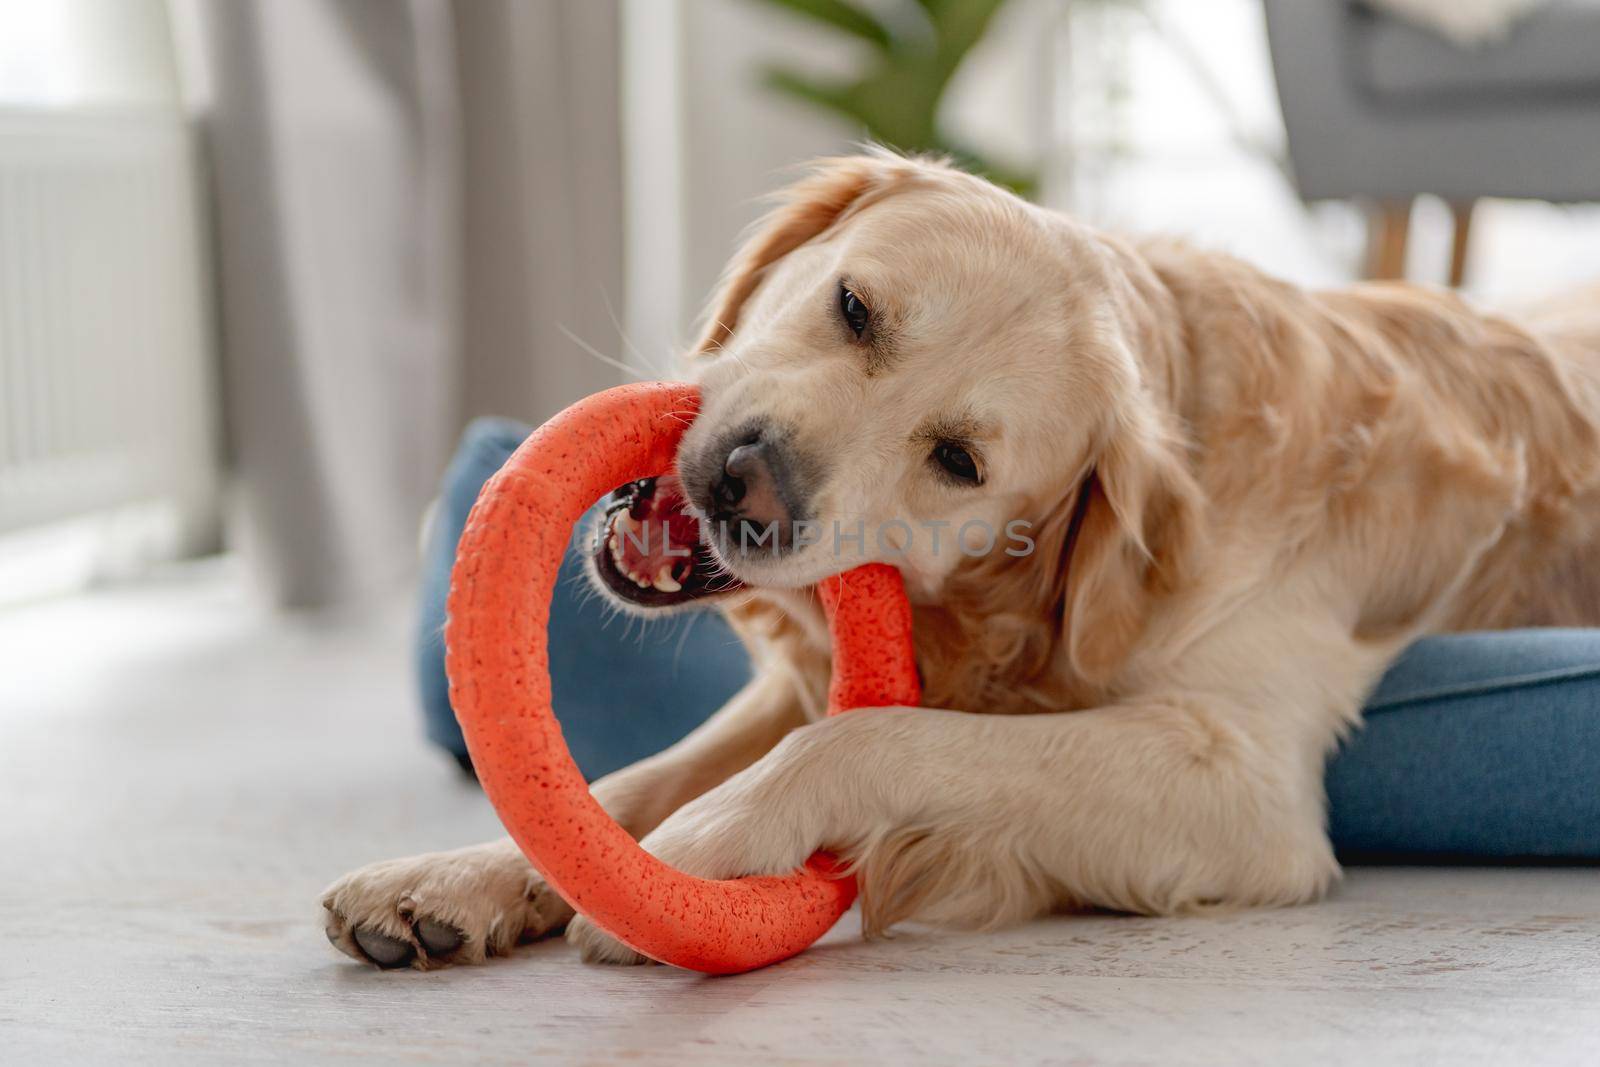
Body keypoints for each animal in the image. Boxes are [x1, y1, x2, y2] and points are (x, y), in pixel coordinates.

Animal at [321, 154, 1600, 972]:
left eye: (957, 460)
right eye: (852, 306)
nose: (747, 483)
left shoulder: (1242, 780)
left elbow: (875, 737)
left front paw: (698, 849)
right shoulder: (782, 688)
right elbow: (623, 781)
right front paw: (451, 877)